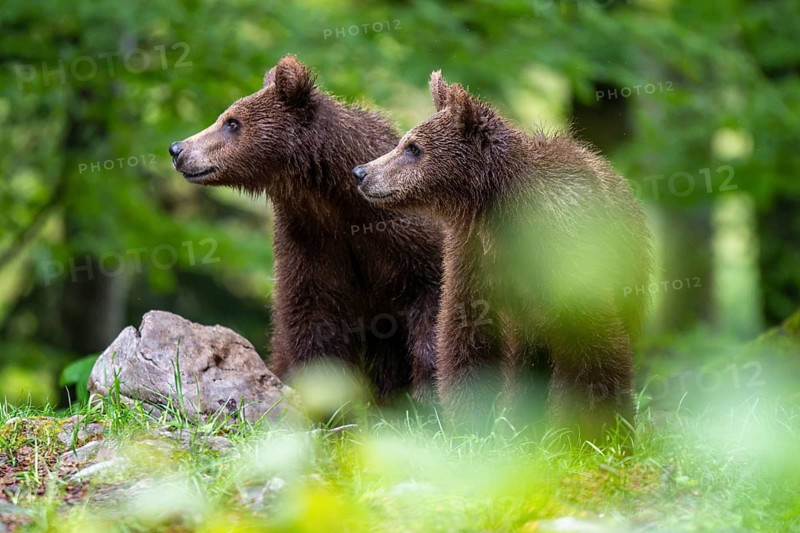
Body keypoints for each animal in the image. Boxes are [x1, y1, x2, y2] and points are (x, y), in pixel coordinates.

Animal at [168, 55, 443, 405]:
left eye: (232, 122)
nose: (177, 149)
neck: (332, 202)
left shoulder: (409, 244)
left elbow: (433, 308)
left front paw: (428, 397)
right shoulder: (311, 242)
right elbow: (313, 322)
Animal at [353, 71, 653, 439]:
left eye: (413, 147)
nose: (362, 172)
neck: (500, 210)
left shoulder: (564, 248)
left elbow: (595, 343)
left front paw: (599, 429)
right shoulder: (473, 256)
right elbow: (468, 331)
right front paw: (472, 423)